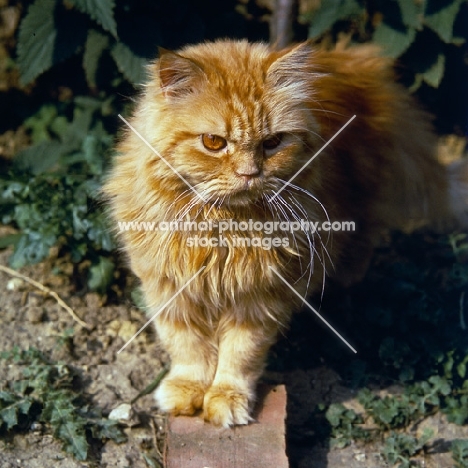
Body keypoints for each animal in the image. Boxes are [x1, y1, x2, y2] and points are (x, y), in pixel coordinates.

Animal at [103, 41, 468, 428]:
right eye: (214, 142)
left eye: (273, 142)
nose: (249, 174)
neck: (224, 229)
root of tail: (359, 62)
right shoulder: (169, 286)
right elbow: (187, 347)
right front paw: (187, 391)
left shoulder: (261, 295)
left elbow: (239, 355)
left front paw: (226, 399)